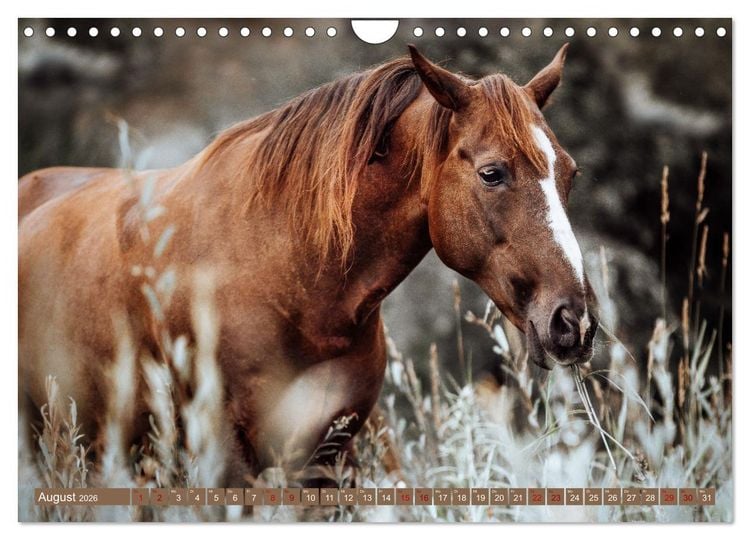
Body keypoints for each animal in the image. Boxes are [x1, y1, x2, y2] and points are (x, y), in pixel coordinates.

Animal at [18, 44, 597, 484]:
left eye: (570, 173)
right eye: (492, 173)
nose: (574, 322)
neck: (288, 276)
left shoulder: (328, 457)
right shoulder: (227, 457)